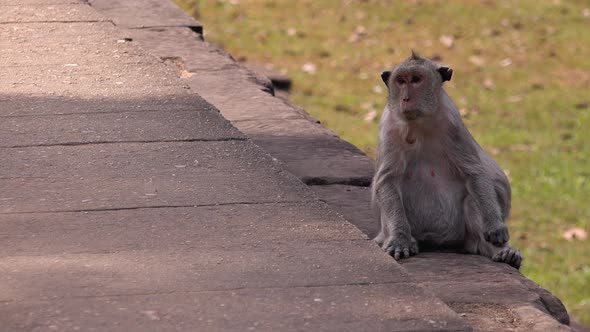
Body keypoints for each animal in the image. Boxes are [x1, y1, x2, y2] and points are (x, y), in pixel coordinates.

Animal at [372, 52, 524, 270]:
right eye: (400, 81)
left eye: (416, 80)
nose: (406, 98)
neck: (419, 123)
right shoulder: (389, 128)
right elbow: (387, 180)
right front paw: (400, 239)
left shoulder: (453, 123)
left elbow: (474, 172)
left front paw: (495, 227)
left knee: (472, 199)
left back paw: (503, 253)